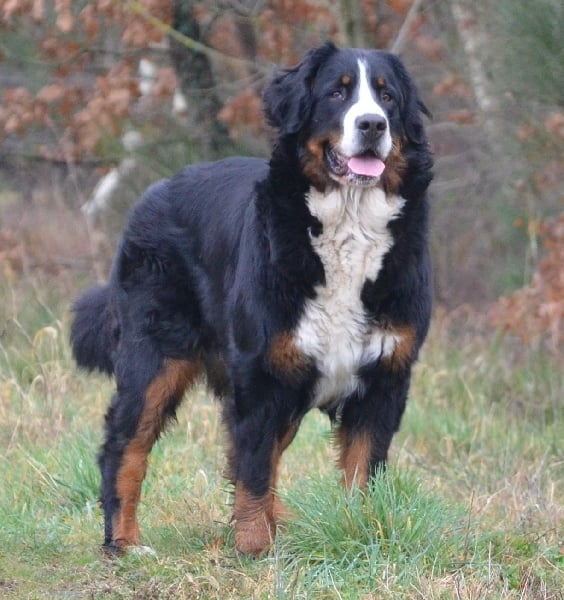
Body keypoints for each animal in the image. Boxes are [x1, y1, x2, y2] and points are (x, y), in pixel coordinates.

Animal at [69, 42, 432, 556]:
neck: (349, 224)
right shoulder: (262, 373)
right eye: (337, 93)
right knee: (125, 446)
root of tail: (156, 189)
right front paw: (255, 547)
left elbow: (361, 472)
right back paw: (124, 542)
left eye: (388, 97)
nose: (372, 125)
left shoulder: (384, 375)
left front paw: (363, 534)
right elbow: (255, 468)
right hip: (155, 356)